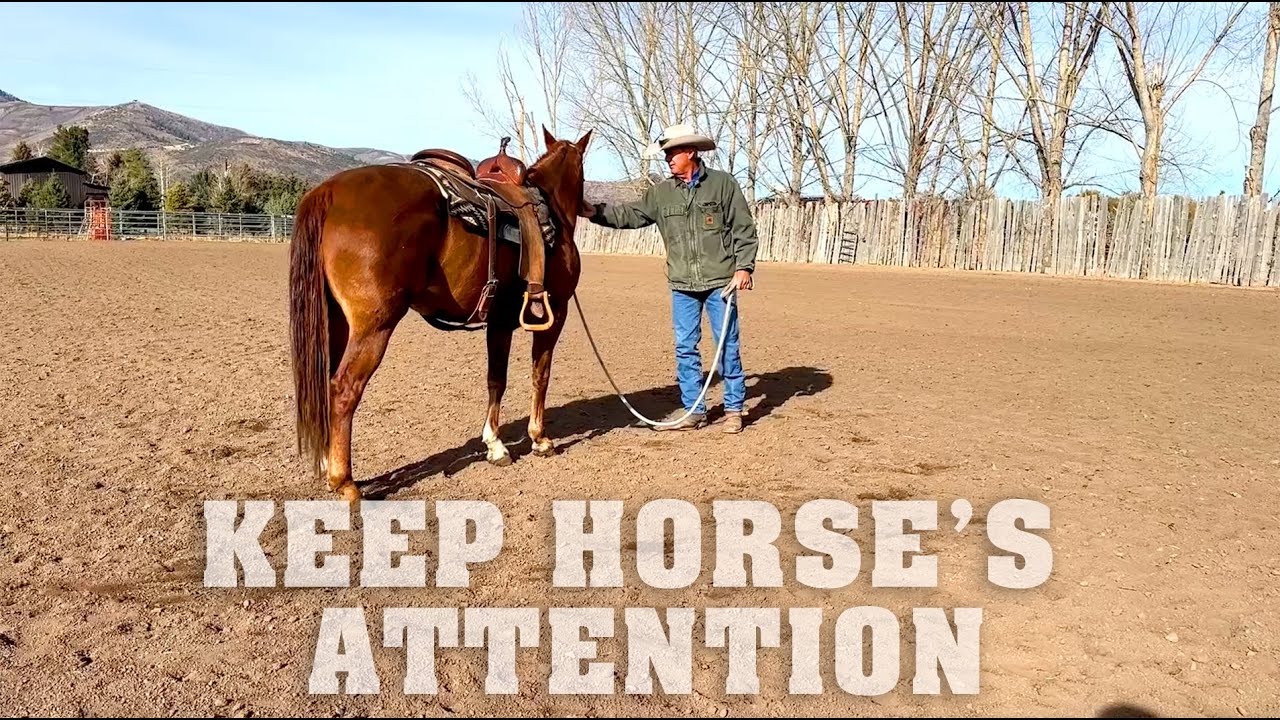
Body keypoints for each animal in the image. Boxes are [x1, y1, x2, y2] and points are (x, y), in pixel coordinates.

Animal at [288, 126, 594, 502]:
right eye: (582, 170)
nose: (590, 207)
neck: (549, 211)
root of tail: (328, 192)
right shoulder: (554, 314)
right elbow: (540, 375)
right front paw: (539, 439)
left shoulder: (499, 320)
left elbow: (496, 379)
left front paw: (495, 445)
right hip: (373, 328)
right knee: (343, 390)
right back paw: (344, 481)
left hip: (335, 323)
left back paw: (325, 462)